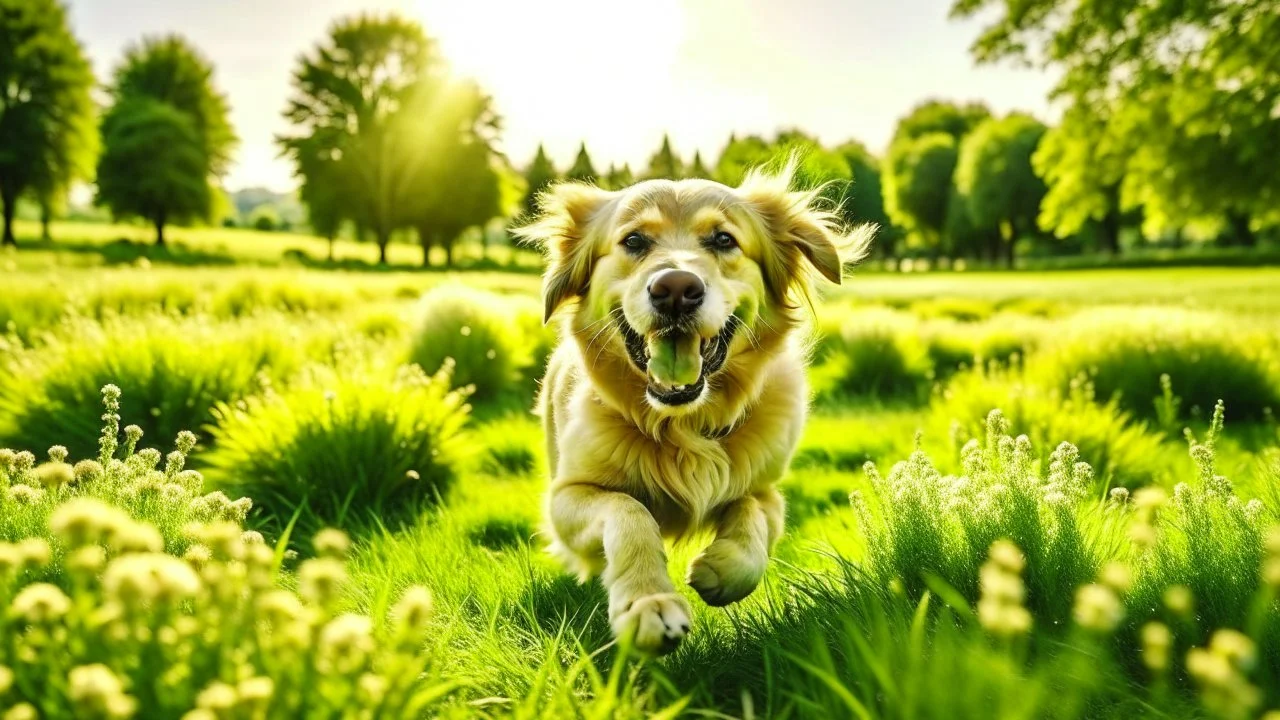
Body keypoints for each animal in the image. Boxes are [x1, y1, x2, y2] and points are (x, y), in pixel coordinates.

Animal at [514, 163, 875, 650]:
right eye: (633, 241)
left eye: (723, 239)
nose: (675, 289)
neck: (680, 424)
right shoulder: (567, 496)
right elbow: (628, 511)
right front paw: (647, 604)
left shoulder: (768, 488)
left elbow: (752, 513)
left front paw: (723, 567)